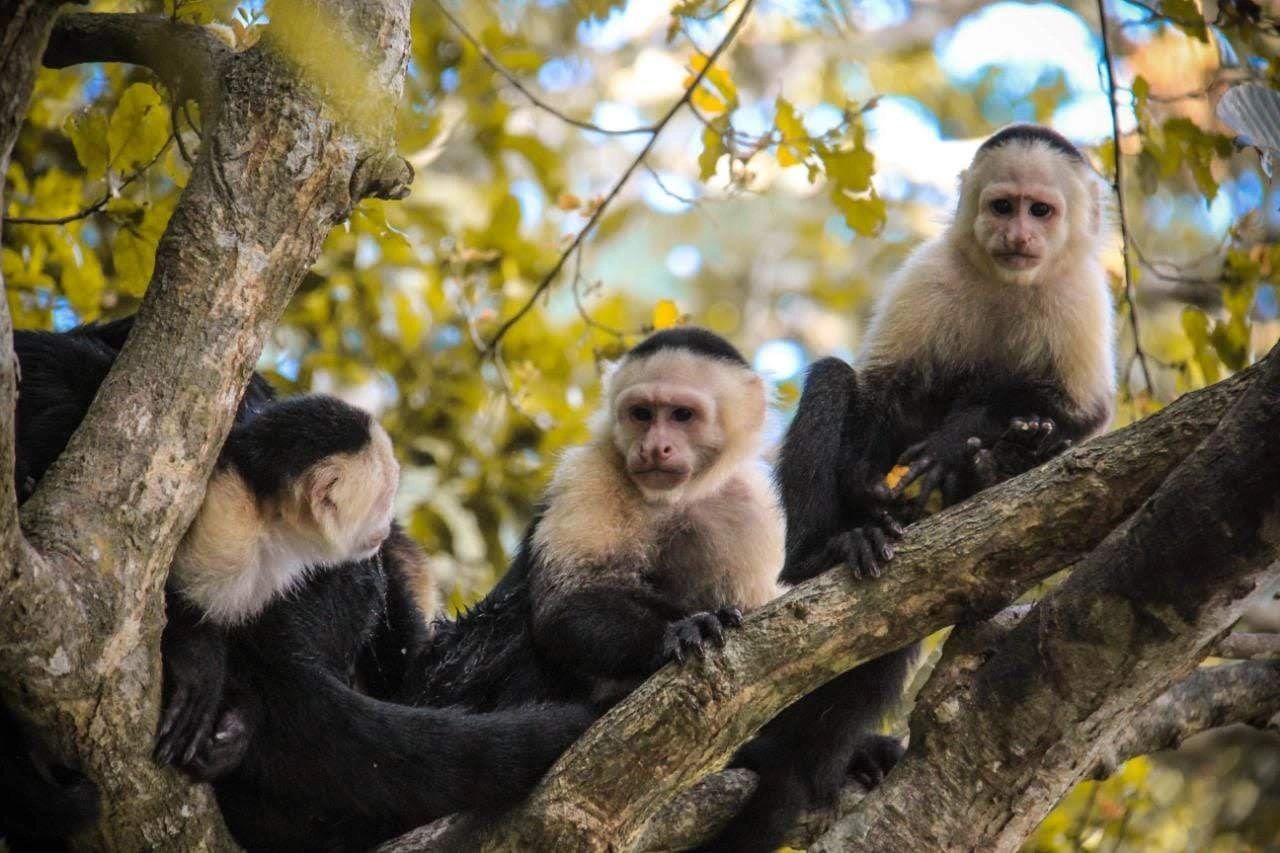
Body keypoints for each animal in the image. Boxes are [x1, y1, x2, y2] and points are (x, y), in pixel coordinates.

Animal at [696, 125, 1117, 853]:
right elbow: (882, 390)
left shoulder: (1083, 299)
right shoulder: (932, 272)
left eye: (1041, 211)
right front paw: (873, 481)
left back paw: (995, 464)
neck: (1012, 282)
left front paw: (972, 437)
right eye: (1003, 206)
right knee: (835, 381)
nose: (1017, 235)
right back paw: (828, 547)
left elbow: (1076, 415)